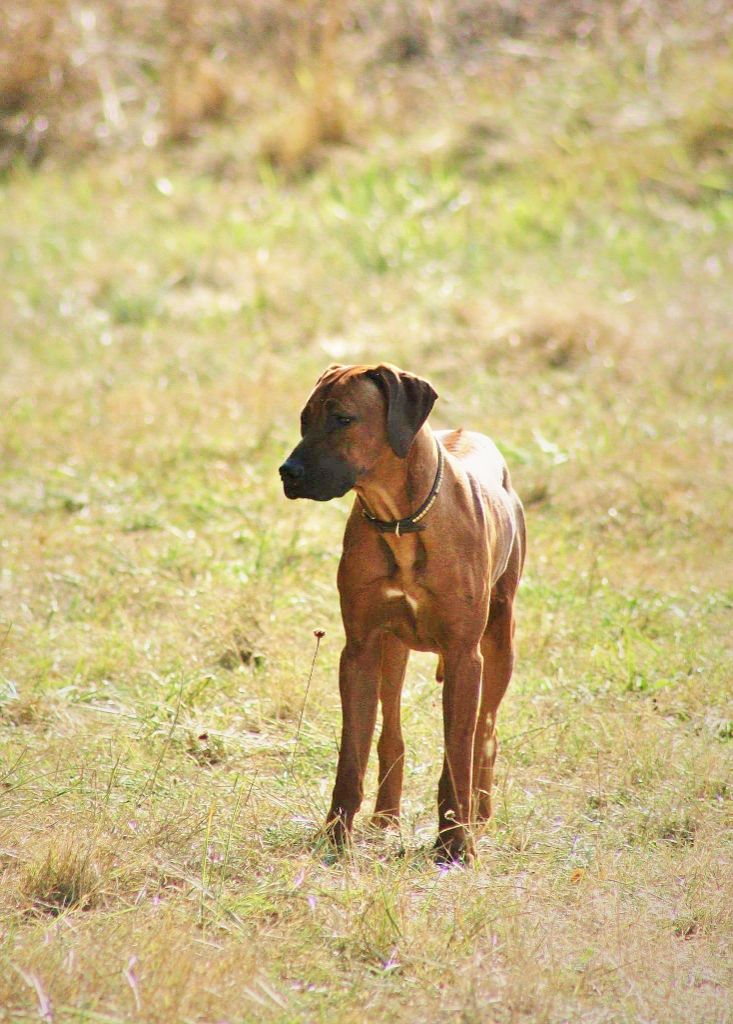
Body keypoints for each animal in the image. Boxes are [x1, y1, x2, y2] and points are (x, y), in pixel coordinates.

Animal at [279, 363, 526, 862]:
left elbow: (458, 754)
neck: (401, 520)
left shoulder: (465, 655)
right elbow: (351, 753)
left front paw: (456, 844)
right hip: (392, 649)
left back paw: (480, 814)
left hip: (500, 642)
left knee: (485, 734)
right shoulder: (358, 649)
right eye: (304, 419)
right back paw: (386, 816)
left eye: (343, 419)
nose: (286, 473)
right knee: (390, 730)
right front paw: (337, 836)